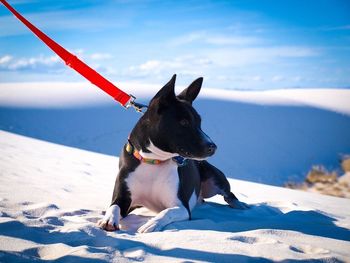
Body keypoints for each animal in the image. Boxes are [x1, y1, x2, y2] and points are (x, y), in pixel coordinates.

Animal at [97, 75, 247, 234]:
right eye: (184, 122)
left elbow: (167, 212)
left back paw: (239, 204)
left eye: (199, 122)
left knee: (228, 194)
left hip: (214, 177)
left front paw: (152, 223)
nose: (213, 147)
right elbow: (114, 206)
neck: (153, 161)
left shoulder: (181, 207)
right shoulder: (123, 198)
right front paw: (108, 219)